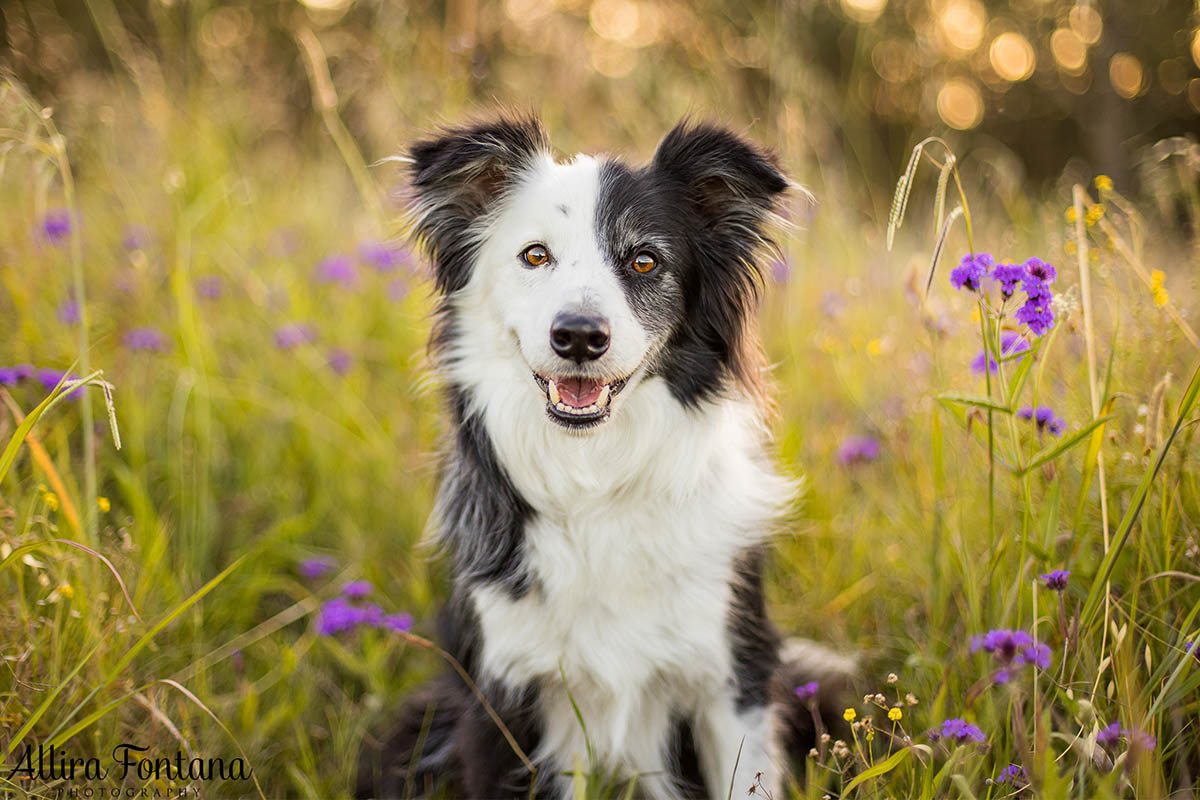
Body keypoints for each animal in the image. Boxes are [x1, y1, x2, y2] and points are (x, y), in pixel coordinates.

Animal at [357, 115, 854, 796]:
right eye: (535, 255)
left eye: (644, 260)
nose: (579, 337)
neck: (595, 479)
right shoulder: (503, 700)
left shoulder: (733, 677)